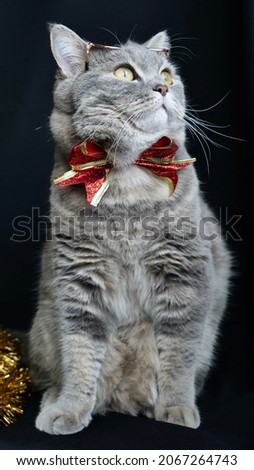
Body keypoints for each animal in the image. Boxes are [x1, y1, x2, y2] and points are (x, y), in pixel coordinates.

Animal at [27, 23, 230, 436]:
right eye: (124, 74)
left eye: (167, 75)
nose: (162, 88)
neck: (128, 190)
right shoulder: (80, 278)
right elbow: (79, 353)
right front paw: (70, 409)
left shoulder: (186, 274)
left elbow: (179, 353)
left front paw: (177, 408)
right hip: (41, 334)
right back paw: (55, 400)